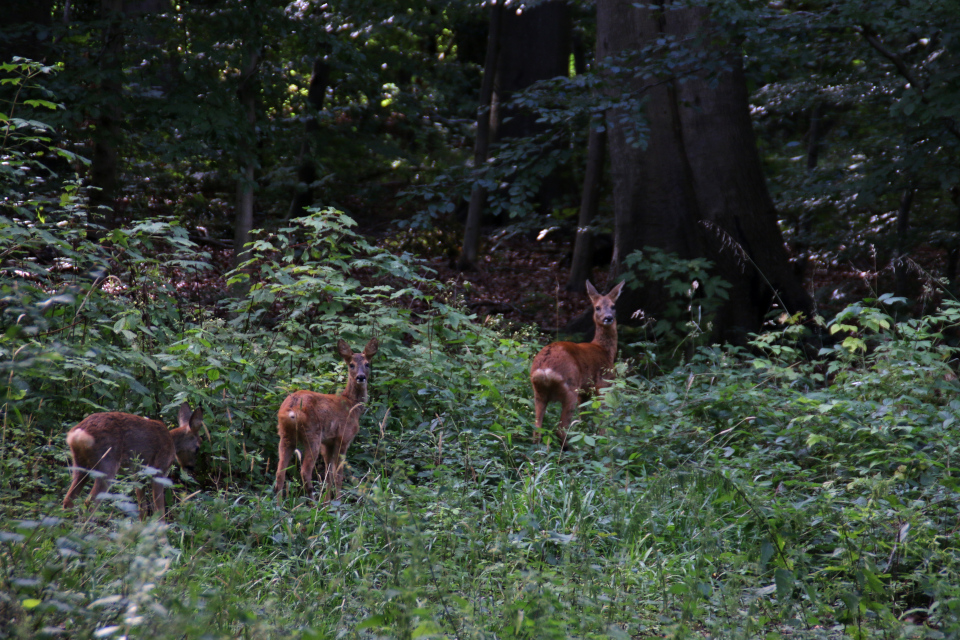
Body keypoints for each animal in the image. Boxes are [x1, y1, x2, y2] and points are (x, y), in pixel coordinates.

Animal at [62, 404, 204, 520]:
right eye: (197, 448)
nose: (191, 467)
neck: (172, 443)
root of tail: (77, 435)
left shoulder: (138, 474)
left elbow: (143, 508)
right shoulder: (159, 469)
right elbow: (159, 509)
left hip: (80, 465)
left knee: (68, 499)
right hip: (107, 464)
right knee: (89, 503)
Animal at [274, 338, 378, 502]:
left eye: (367, 364)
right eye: (351, 364)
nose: (361, 377)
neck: (351, 405)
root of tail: (290, 409)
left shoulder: (327, 442)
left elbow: (328, 474)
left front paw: (327, 502)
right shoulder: (343, 438)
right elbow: (338, 474)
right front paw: (338, 502)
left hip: (285, 435)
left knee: (280, 472)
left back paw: (279, 506)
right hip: (312, 434)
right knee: (305, 471)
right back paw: (312, 502)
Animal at [528, 280, 628, 450]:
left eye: (613, 306)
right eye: (597, 307)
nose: (608, 318)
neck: (605, 351)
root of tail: (544, 369)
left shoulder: (585, 391)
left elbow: (584, 417)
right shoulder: (603, 384)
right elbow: (602, 418)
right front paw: (603, 441)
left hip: (538, 392)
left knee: (537, 430)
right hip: (570, 388)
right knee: (560, 429)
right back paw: (574, 449)